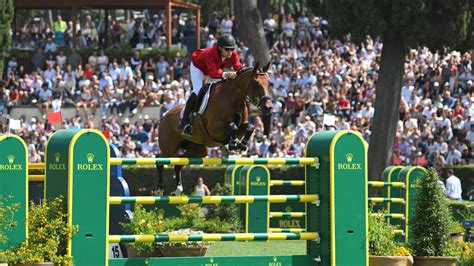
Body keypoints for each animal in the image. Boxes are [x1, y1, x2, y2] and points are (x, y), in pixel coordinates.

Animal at [156, 62, 272, 195]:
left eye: (269, 83)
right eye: (256, 83)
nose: (268, 107)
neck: (233, 99)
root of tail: (164, 117)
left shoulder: (241, 127)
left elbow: (249, 127)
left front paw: (240, 144)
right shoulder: (214, 128)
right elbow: (232, 126)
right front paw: (232, 144)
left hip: (195, 150)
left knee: (178, 164)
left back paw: (177, 190)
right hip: (169, 147)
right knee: (160, 160)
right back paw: (160, 189)